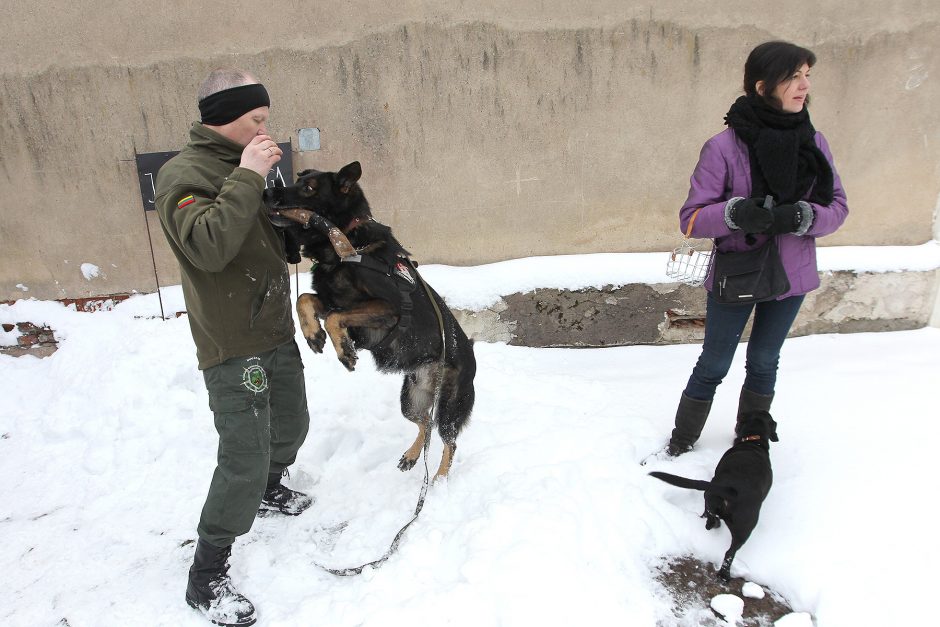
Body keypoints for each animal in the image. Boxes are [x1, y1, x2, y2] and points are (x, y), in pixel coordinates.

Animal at [264, 162, 478, 480]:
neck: (348, 240)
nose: (267, 192)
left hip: (449, 406)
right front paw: (312, 334)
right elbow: (304, 298)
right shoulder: (333, 301)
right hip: (411, 399)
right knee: (425, 424)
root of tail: (472, 353)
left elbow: (334, 317)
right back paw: (412, 456)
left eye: (309, 188)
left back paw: (440, 480)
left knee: (448, 441)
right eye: (298, 181)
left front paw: (344, 351)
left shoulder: (387, 310)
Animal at [648, 412, 776, 584]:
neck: (753, 441)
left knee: (709, 518)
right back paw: (724, 575)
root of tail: (732, 490)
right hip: (745, 526)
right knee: (730, 552)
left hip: (709, 498)